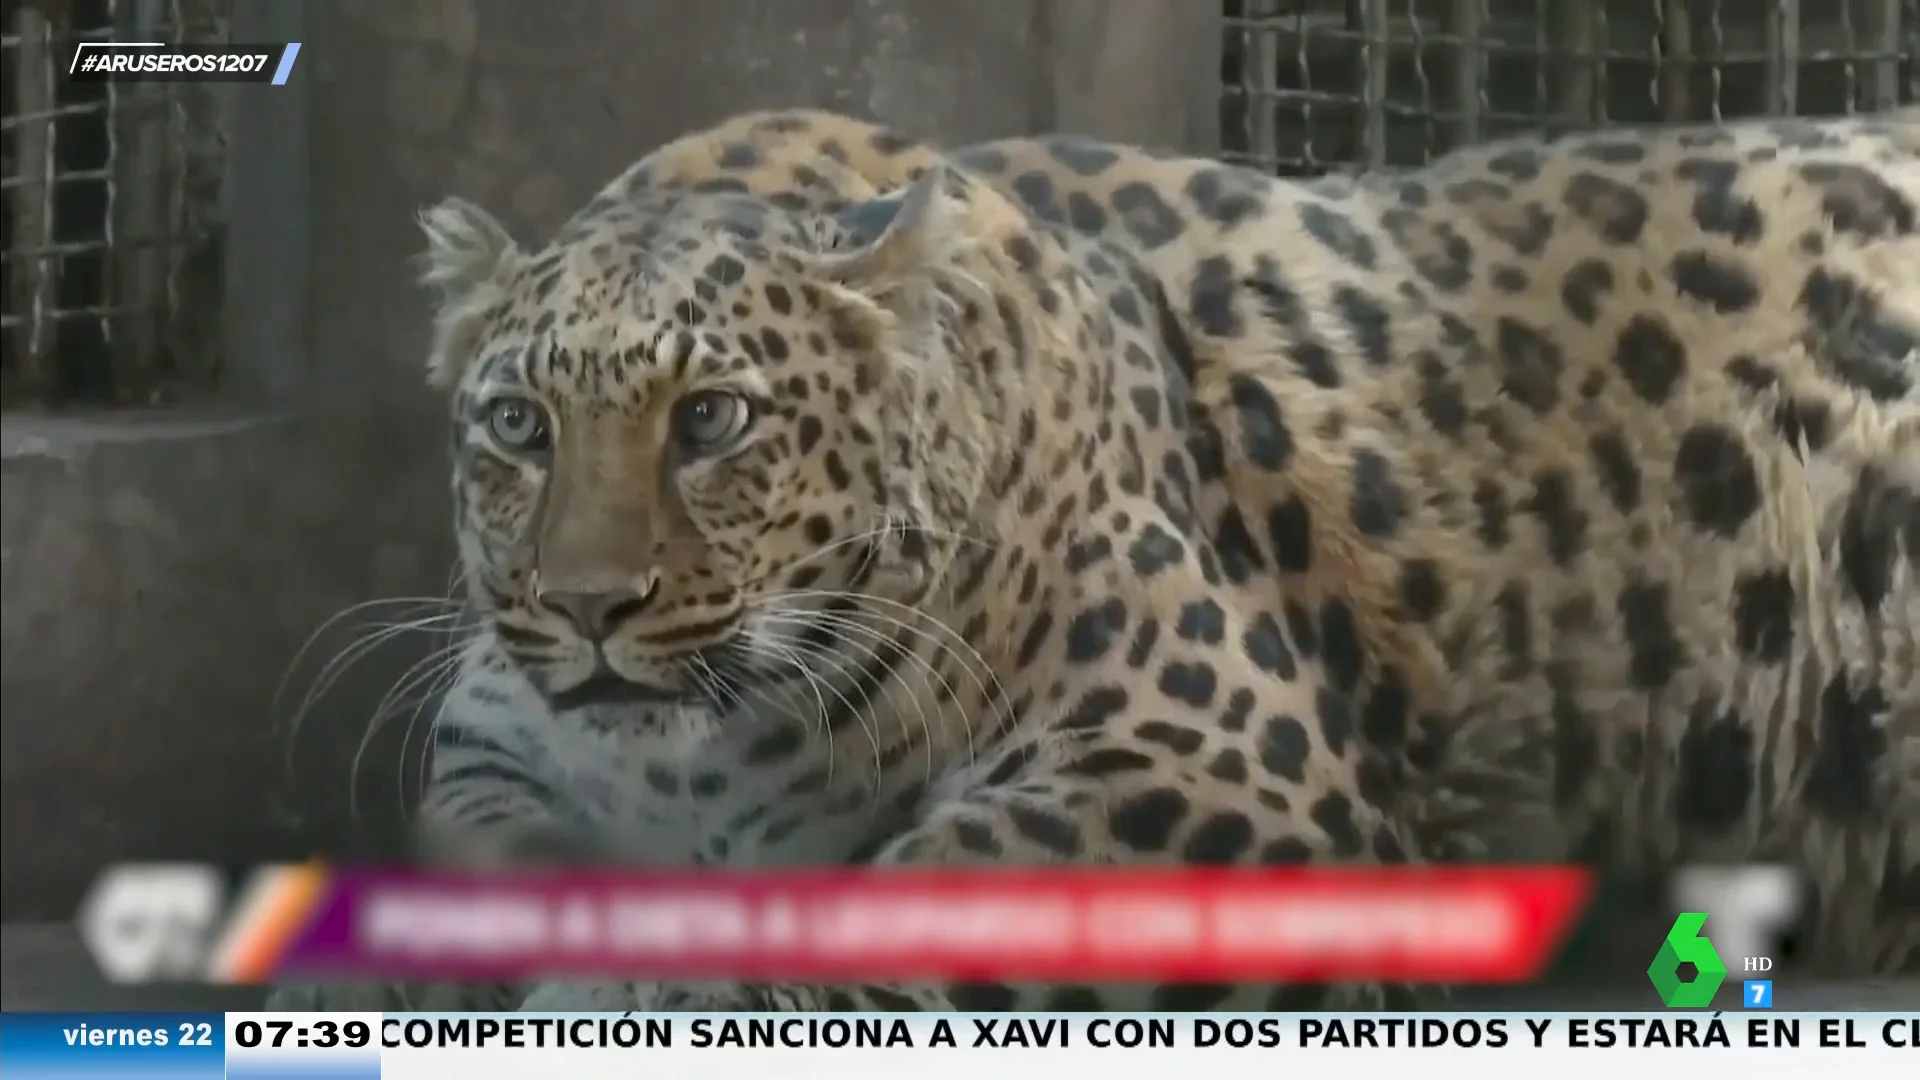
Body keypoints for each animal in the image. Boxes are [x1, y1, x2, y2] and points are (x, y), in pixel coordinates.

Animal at [274, 107, 1920, 1006]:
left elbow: (915, 894)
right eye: (518, 423)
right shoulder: (500, 747)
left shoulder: (1223, 775)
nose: (589, 607)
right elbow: (486, 840)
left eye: (712, 419)